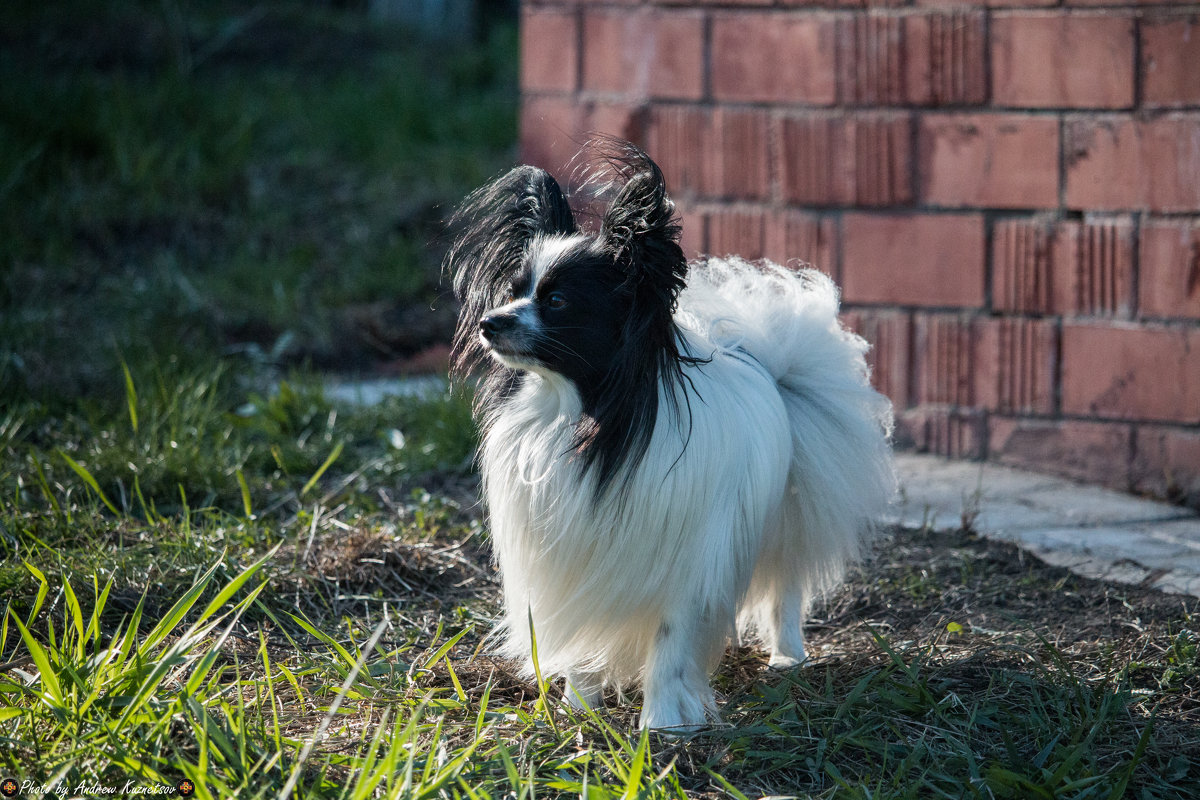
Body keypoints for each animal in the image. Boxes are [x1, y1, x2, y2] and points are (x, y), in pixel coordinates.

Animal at [446, 139, 897, 734]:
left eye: (558, 301)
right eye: (514, 291)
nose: (489, 323)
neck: (586, 420)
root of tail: (769, 368)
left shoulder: (688, 566)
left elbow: (669, 646)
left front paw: (663, 724)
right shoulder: (576, 564)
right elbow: (584, 647)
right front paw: (578, 707)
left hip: (785, 518)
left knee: (786, 585)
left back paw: (787, 657)